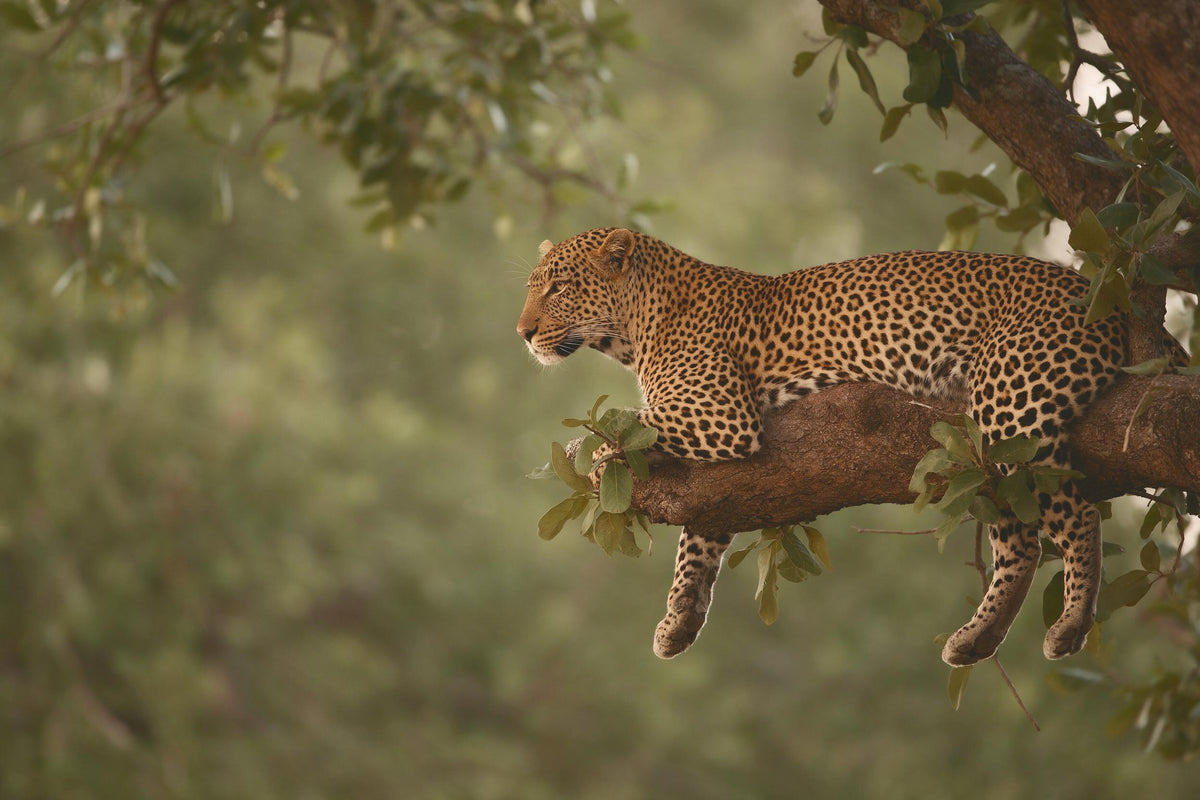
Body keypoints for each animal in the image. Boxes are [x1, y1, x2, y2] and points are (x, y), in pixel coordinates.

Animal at [517, 226, 1187, 666]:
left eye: (557, 289)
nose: (522, 332)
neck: (635, 330)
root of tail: (1108, 293)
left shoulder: (720, 414)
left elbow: (615, 430)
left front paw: (589, 455)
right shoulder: (721, 473)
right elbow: (700, 535)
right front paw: (680, 619)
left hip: (1013, 405)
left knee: (1073, 516)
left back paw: (1070, 623)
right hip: (988, 443)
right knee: (1021, 539)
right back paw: (977, 638)